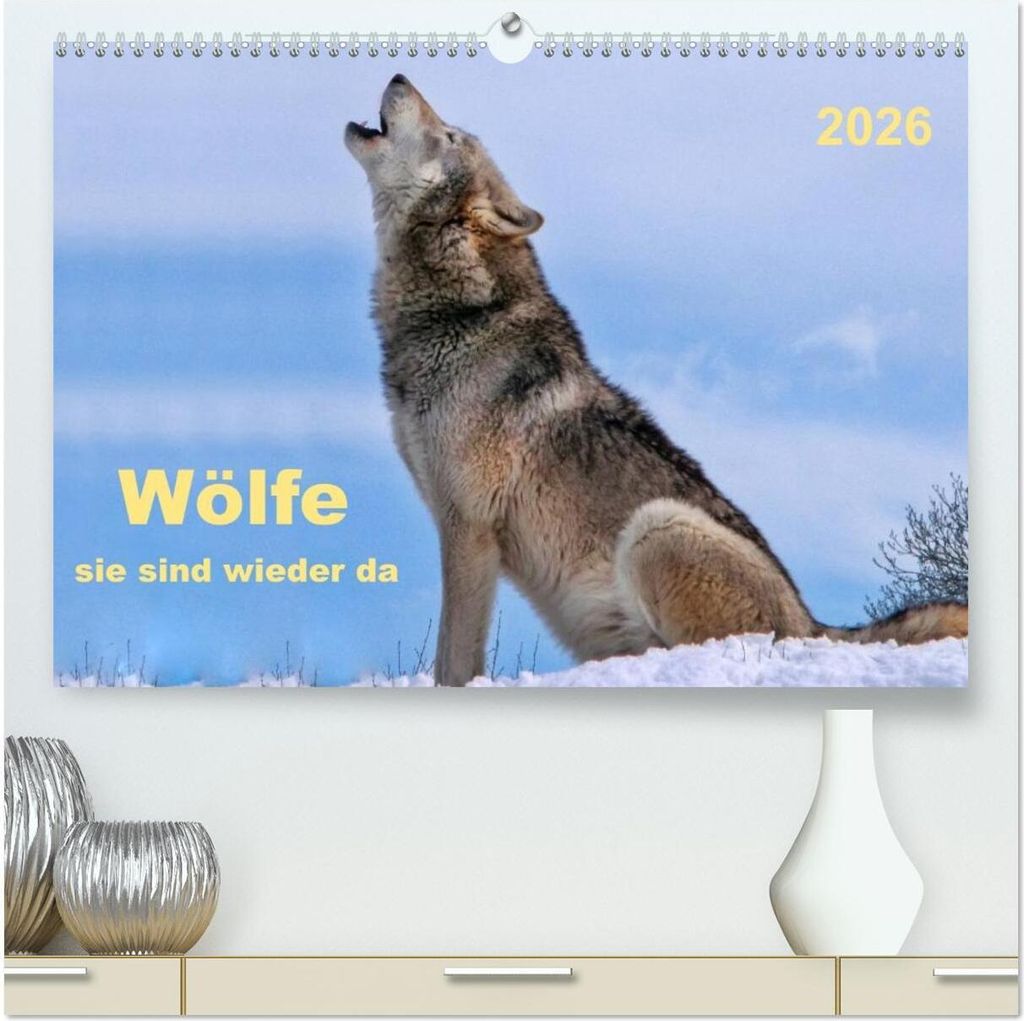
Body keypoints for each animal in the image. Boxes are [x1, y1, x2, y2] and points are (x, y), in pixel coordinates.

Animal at [345, 75, 968, 686]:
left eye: (449, 135)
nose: (399, 76)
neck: (460, 313)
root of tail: (816, 626)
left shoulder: (470, 526)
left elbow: (454, 659)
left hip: (656, 527)